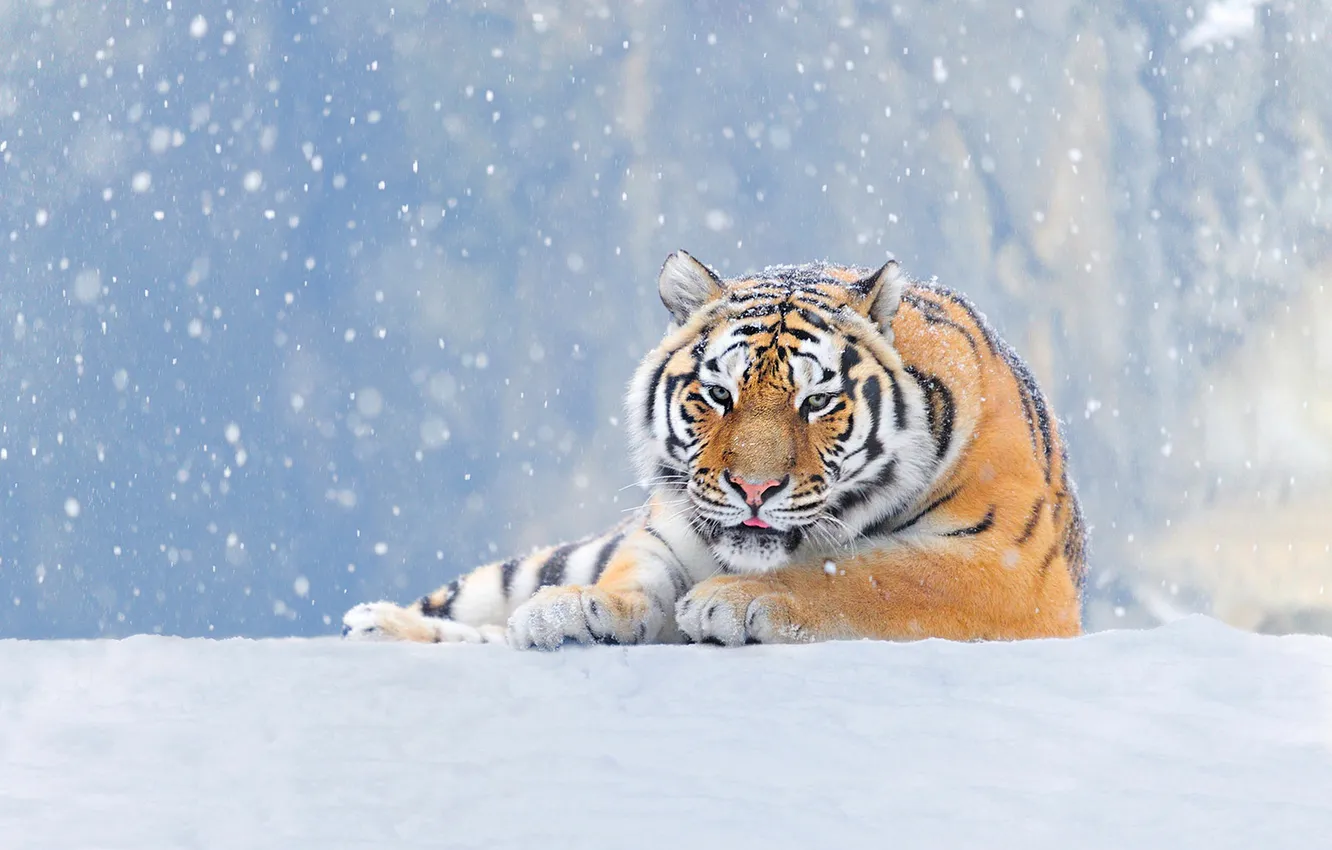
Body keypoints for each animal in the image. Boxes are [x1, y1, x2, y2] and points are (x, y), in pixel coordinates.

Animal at [342, 251, 1087, 648]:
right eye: (719, 394)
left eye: (816, 402)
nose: (753, 490)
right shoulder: (666, 526)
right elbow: (635, 574)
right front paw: (577, 610)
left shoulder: (1006, 567)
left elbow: (869, 574)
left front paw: (732, 601)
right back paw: (377, 623)